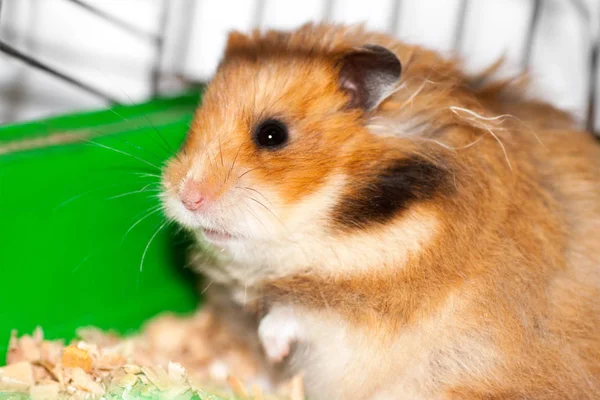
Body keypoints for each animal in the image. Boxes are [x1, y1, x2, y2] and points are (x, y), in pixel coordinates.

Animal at [161, 22, 600, 400]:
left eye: (272, 134)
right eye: (194, 125)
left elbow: (290, 314)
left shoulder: (365, 311)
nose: (187, 198)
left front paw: (273, 349)